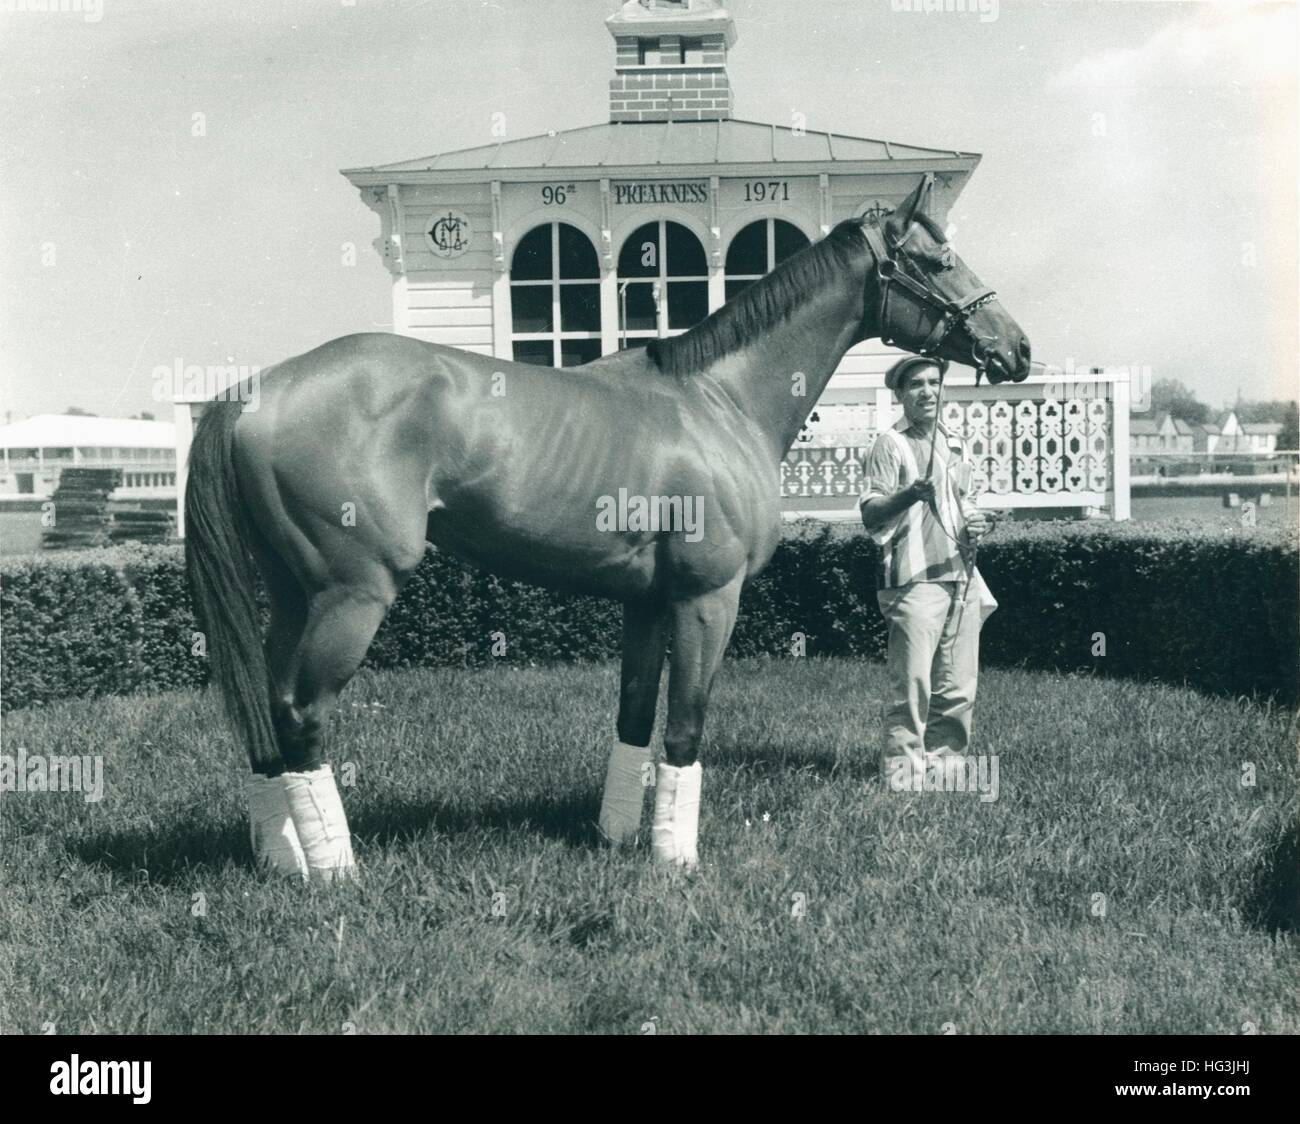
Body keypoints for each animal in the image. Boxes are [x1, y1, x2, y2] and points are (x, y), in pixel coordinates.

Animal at [183, 172, 1029, 878]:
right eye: (938, 258)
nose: (1016, 348)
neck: (717, 400)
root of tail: (255, 392)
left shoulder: (647, 602)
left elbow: (633, 716)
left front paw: (619, 835)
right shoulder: (707, 600)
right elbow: (684, 727)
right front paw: (674, 861)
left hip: (296, 594)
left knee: (263, 705)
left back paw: (281, 858)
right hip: (351, 596)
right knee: (299, 713)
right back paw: (333, 872)